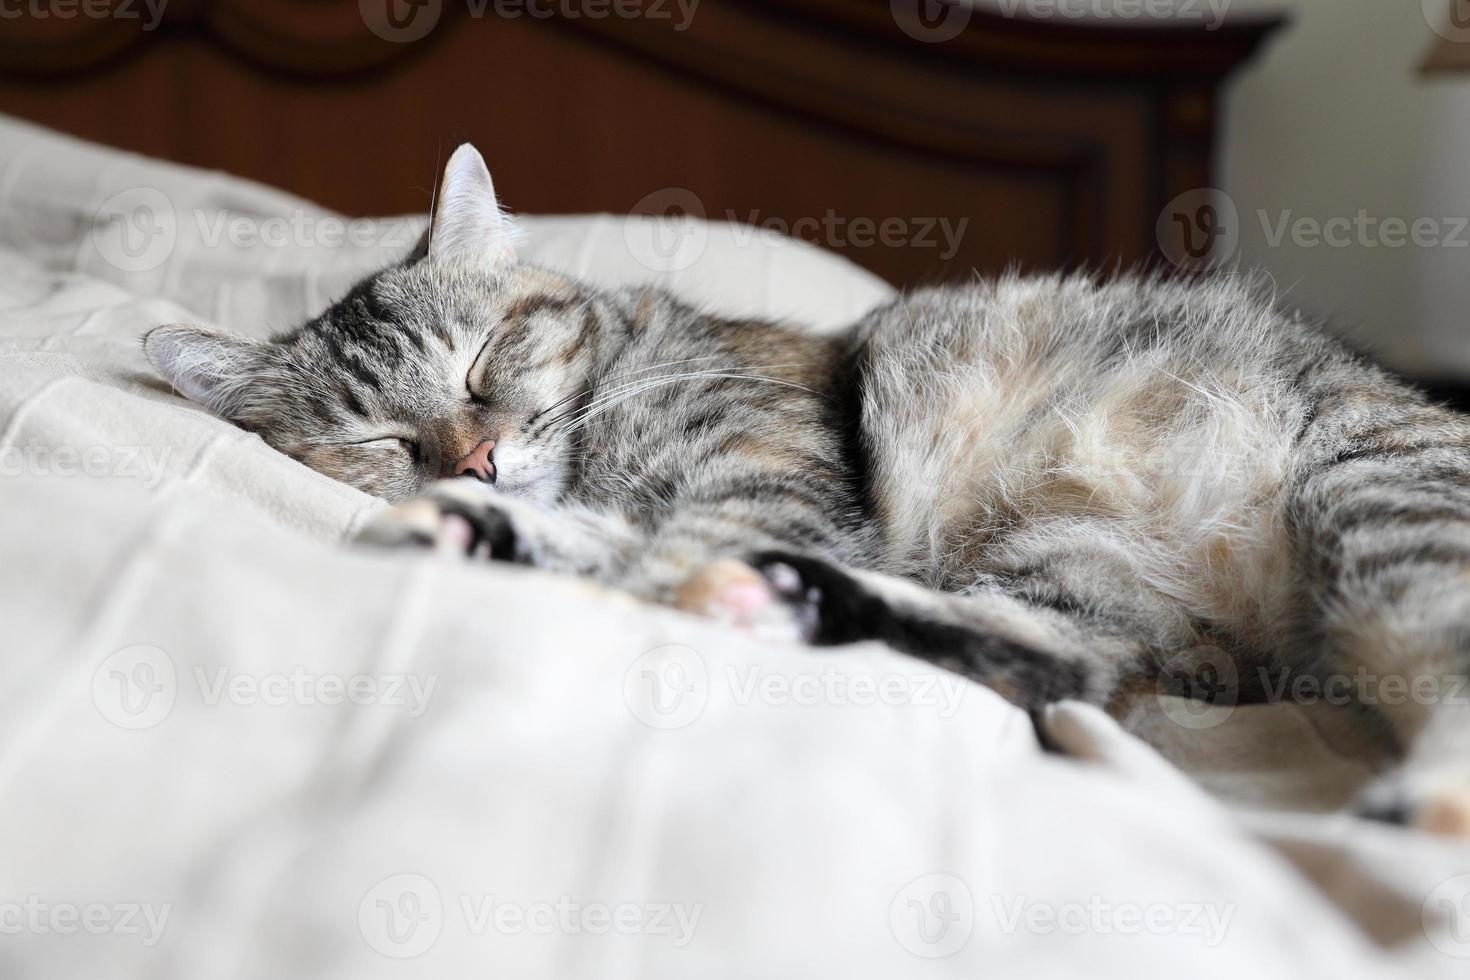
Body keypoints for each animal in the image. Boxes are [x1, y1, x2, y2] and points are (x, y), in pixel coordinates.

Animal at [140, 145, 1470, 834]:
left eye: (482, 361)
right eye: (379, 437)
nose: (471, 459)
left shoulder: (760, 478)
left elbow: (656, 557)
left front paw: (583, 551)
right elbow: (620, 544)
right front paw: (491, 526)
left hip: (1374, 504)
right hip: (1068, 571)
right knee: (1056, 663)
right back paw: (789, 600)